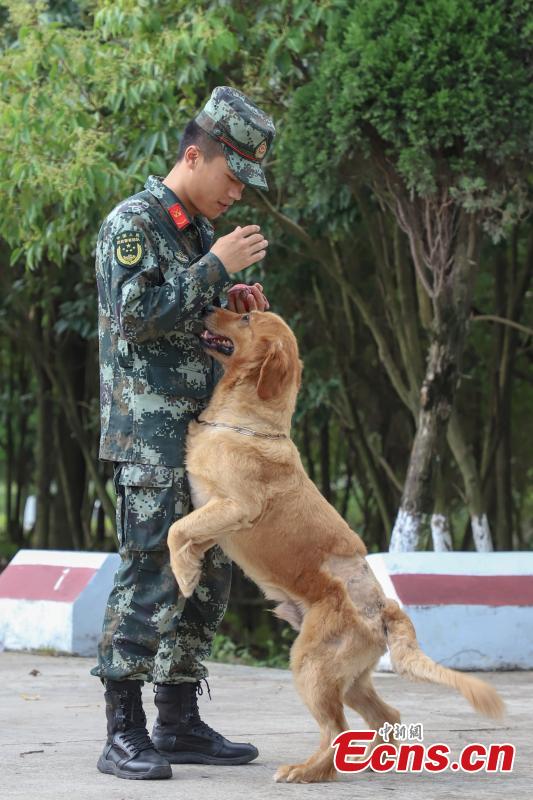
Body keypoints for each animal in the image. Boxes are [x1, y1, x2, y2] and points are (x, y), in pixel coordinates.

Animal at [168, 310, 504, 784]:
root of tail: (384, 608)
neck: (247, 421)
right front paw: (191, 567)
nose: (206, 308)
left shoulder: (235, 506)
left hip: (311, 665)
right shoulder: (217, 518)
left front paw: (183, 575)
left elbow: (176, 529)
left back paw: (304, 771)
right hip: (351, 677)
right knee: (387, 715)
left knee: (336, 729)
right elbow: (188, 532)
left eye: (246, 317)